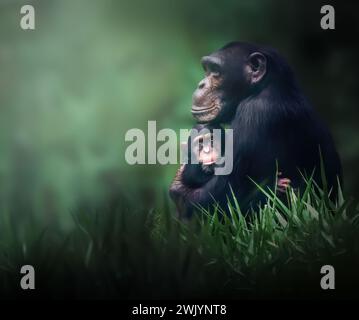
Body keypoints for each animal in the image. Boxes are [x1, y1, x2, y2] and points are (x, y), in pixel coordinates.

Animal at [172, 41, 344, 219]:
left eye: (216, 70)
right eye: (206, 69)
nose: (201, 84)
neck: (264, 87)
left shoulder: (254, 114)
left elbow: (216, 200)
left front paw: (179, 188)